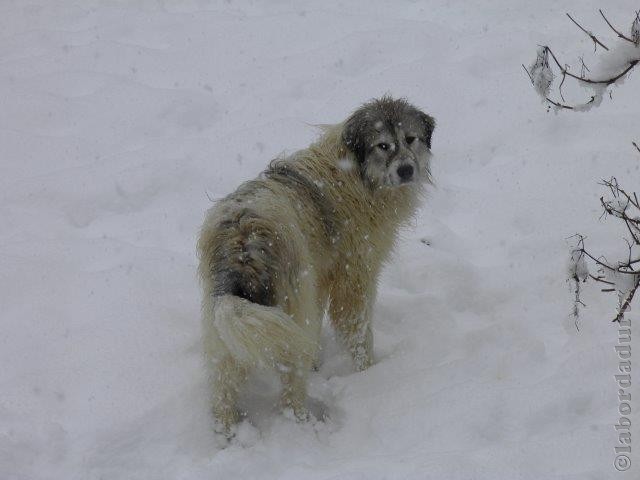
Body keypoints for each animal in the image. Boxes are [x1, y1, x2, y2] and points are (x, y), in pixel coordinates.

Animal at [195, 95, 436, 436]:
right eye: (383, 145)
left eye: (410, 139)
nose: (406, 170)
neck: (356, 174)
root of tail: (243, 242)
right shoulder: (353, 276)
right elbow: (358, 332)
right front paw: (369, 374)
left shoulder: (320, 278)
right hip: (290, 309)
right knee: (289, 386)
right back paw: (302, 422)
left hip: (228, 322)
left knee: (224, 385)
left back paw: (226, 434)